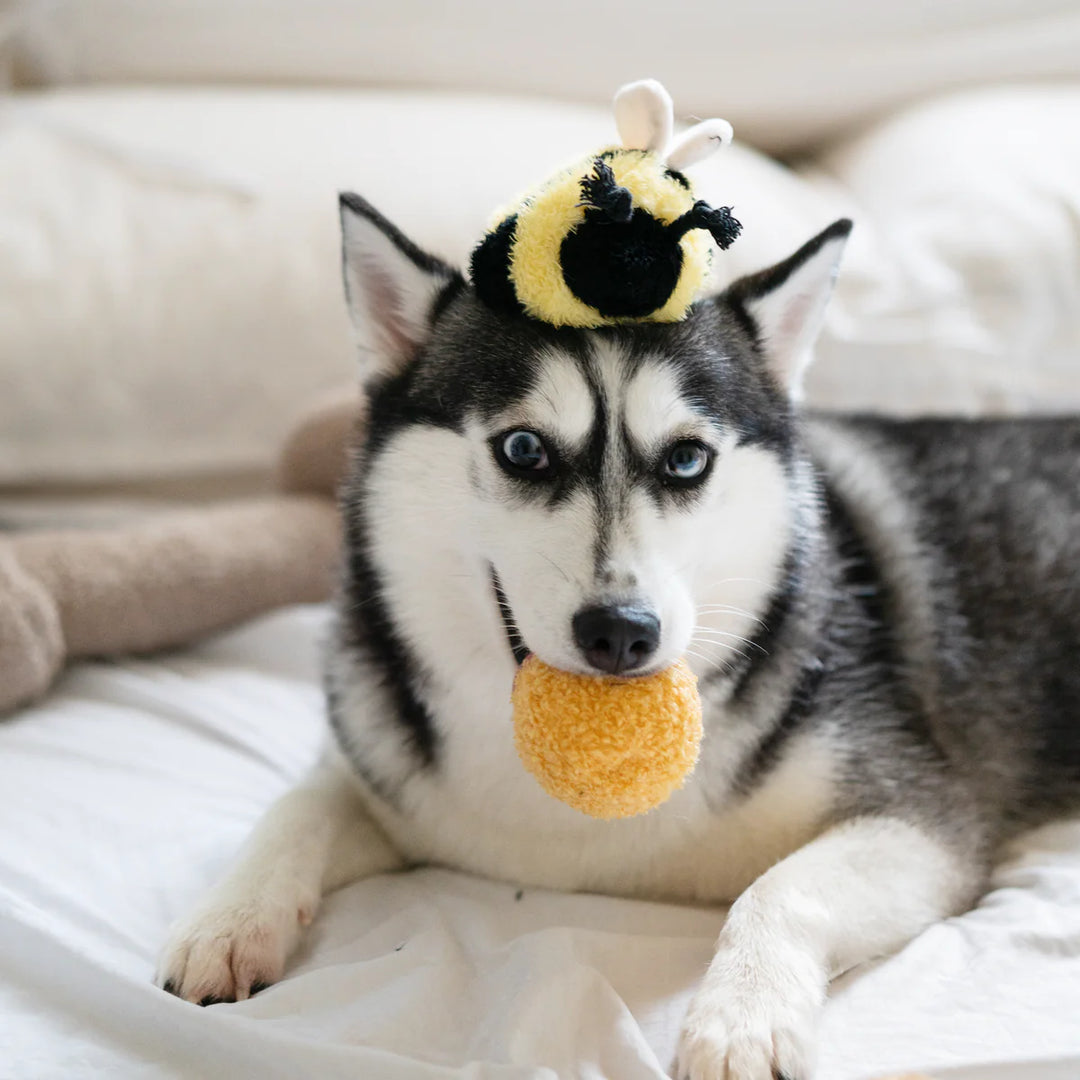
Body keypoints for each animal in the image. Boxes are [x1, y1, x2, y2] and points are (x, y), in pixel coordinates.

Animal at [156, 196, 1080, 1080]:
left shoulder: (922, 817)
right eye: (523, 448)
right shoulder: (390, 767)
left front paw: (742, 1021)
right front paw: (228, 920)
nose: (621, 633)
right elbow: (300, 804)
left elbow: (779, 890)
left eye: (686, 460)